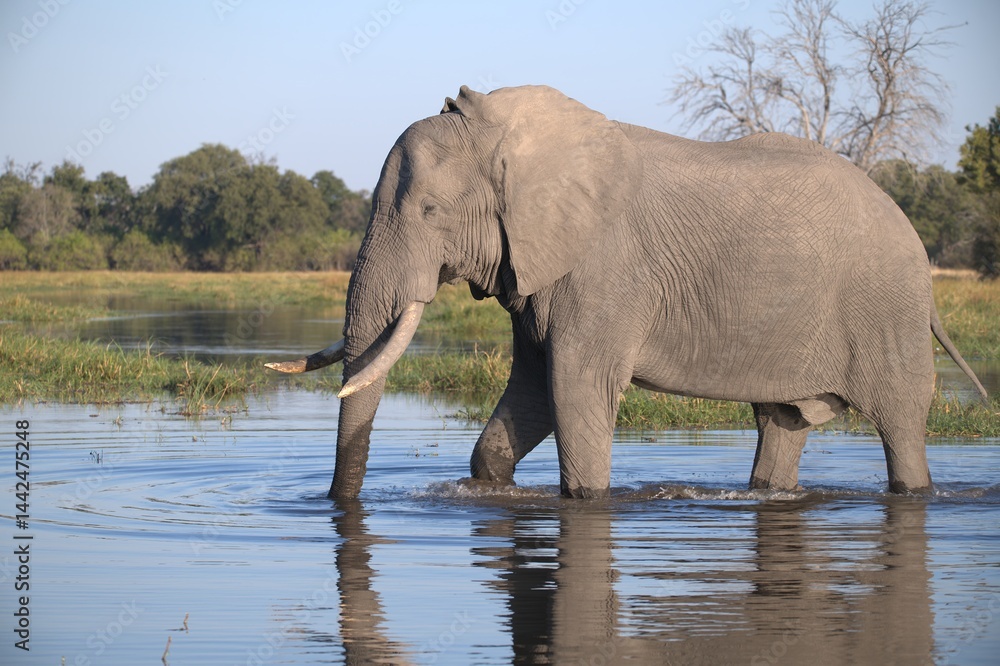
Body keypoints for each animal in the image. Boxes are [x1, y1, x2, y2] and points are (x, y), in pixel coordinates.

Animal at [266, 84, 988, 500]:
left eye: (429, 212)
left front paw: (586, 499)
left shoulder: (604, 269)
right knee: (781, 423)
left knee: (901, 425)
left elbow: (574, 388)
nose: (335, 507)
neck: (513, 135)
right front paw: (490, 482)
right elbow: (529, 395)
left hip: (887, 309)